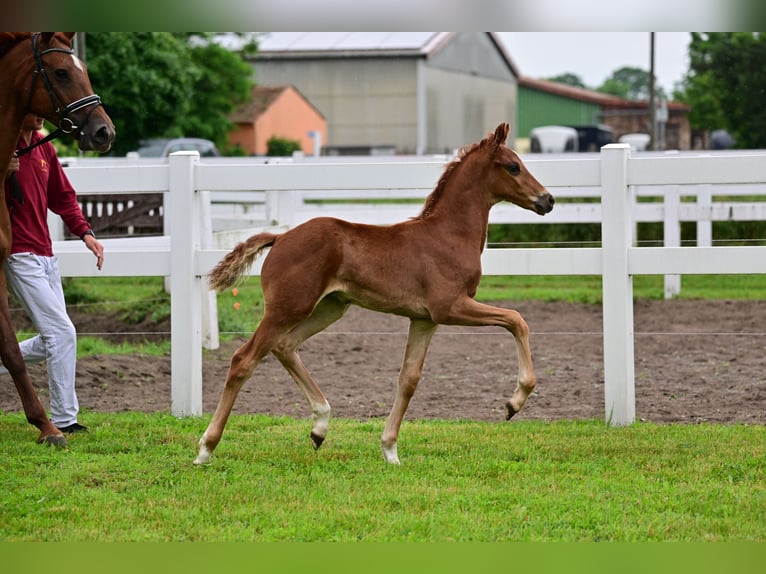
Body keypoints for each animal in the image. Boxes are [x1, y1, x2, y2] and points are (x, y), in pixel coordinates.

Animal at [195, 124, 556, 466]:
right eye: (513, 166)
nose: (548, 200)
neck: (447, 235)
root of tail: (280, 238)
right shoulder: (450, 307)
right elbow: (516, 320)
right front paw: (513, 403)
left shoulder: (424, 320)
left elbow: (408, 379)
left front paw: (390, 450)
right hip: (287, 308)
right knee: (244, 359)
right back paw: (206, 449)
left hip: (328, 308)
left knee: (284, 346)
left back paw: (320, 427)